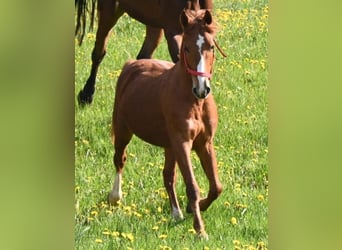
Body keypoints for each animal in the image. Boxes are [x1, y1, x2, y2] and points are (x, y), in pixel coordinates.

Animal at [108, 5, 223, 238]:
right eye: (186, 48)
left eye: (211, 47)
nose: (202, 89)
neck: (194, 102)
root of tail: (131, 64)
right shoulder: (182, 142)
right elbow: (192, 186)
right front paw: (200, 230)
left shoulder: (204, 143)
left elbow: (216, 187)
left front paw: (192, 209)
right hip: (124, 131)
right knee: (120, 159)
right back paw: (115, 197)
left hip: (169, 146)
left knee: (168, 175)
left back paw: (176, 213)